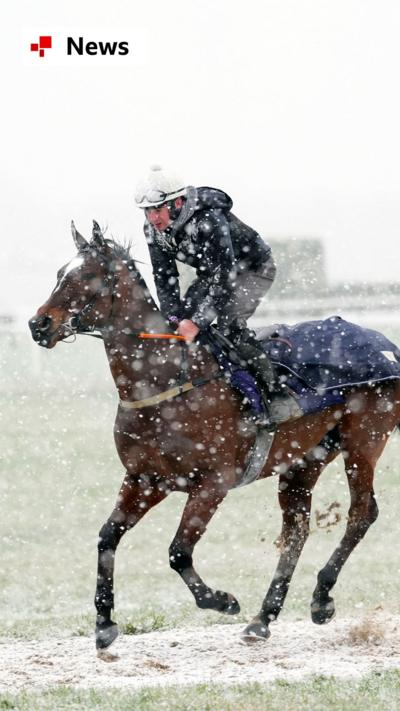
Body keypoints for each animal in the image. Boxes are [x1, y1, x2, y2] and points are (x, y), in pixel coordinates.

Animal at [28, 222, 400, 652]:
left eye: (87, 276)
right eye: (60, 273)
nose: (38, 325)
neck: (166, 381)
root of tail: (387, 344)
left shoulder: (211, 483)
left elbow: (177, 552)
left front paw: (223, 601)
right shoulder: (145, 479)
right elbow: (107, 537)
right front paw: (104, 623)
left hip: (364, 441)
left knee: (361, 513)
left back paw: (321, 597)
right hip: (305, 460)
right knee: (296, 529)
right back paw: (264, 618)